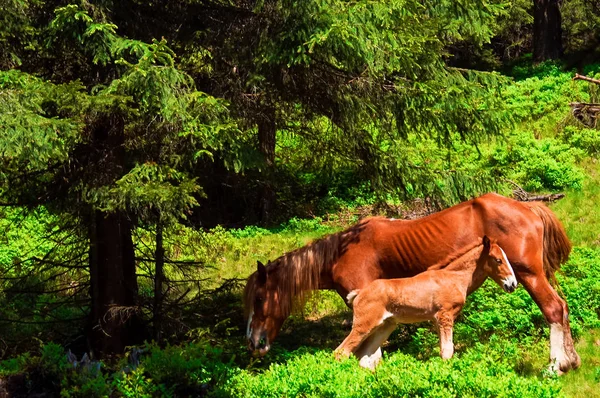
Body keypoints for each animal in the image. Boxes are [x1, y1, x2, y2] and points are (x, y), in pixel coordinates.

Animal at [336, 236, 516, 370]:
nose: (512, 284)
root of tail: (358, 294)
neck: (454, 278)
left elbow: (443, 349)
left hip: (384, 326)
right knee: (341, 352)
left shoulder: (437, 320)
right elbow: (448, 351)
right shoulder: (445, 315)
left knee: (364, 358)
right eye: (498, 260)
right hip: (364, 324)